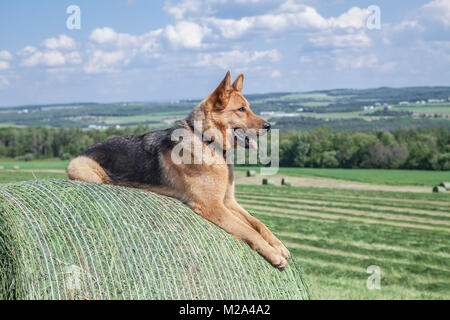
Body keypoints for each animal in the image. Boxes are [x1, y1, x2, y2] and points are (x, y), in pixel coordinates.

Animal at [68, 72, 290, 268]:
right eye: (242, 109)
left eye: (249, 107)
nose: (269, 125)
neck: (207, 140)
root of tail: (86, 149)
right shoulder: (214, 206)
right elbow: (248, 230)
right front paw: (273, 254)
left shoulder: (228, 202)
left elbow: (258, 223)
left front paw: (278, 245)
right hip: (82, 169)